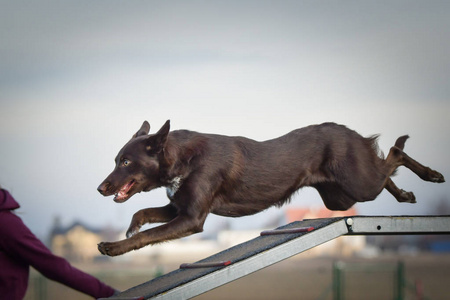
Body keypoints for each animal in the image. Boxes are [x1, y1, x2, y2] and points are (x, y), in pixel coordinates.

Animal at [96, 119, 444, 255]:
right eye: (116, 159)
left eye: (125, 162)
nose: (100, 188)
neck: (183, 158)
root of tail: (348, 131)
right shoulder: (177, 206)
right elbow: (143, 213)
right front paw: (130, 228)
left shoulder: (192, 218)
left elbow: (149, 235)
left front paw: (114, 247)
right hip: (340, 199)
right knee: (386, 173)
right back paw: (406, 195)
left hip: (358, 186)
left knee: (395, 154)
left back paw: (431, 176)